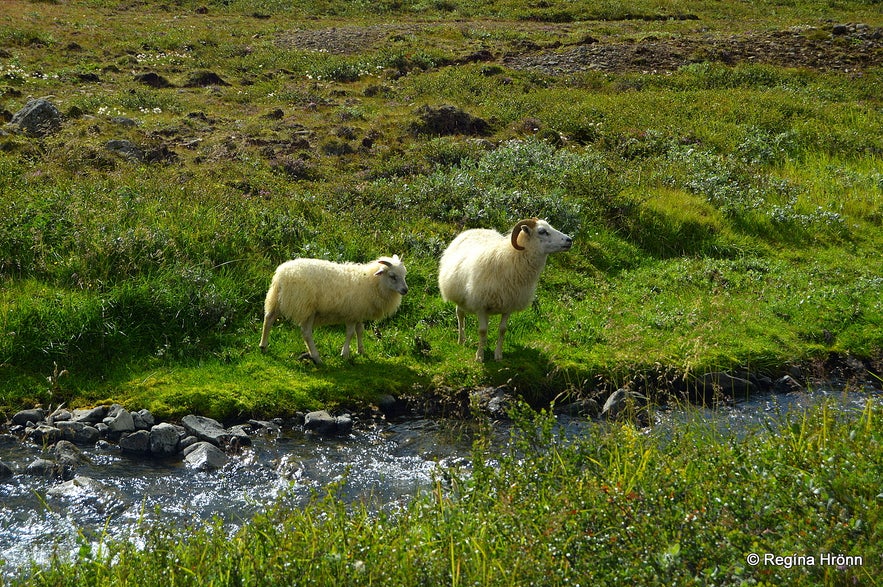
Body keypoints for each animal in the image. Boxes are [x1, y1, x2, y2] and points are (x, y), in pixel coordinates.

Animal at [256, 256, 408, 366]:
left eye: (404, 275)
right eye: (392, 276)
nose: (405, 290)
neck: (371, 281)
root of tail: (282, 274)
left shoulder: (358, 311)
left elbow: (360, 331)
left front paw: (361, 351)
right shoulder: (351, 313)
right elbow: (350, 333)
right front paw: (345, 354)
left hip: (277, 300)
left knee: (268, 319)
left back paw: (263, 346)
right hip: (306, 306)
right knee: (306, 333)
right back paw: (317, 358)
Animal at [440, 217, 572, 360]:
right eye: (542, 231)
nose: (569, 240)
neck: (511, 259)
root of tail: (476, 229)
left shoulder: (509, 304)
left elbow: (502, 330)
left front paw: (498, 355)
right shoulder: (480, 305)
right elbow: (482, 330)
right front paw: (479, 356)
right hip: (460, 297)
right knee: (460, 314)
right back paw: (461, 340)